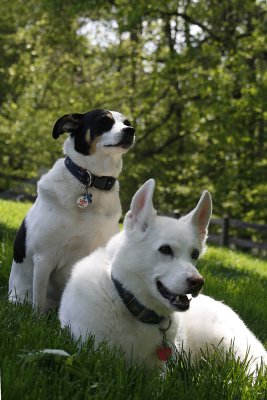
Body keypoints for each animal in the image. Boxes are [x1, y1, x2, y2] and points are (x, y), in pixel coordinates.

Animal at [8, 109, 136, 312]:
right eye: (104, 121)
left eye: (127, 123)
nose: (130, 130)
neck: (92, 180)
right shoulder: (44, 257)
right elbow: (39, 301)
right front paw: (37, 317)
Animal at [59, 180, 266, 374]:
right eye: (165, 249)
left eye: (195, 254)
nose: (198, 283)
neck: (127, 302)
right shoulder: (93, 353)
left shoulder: (160, 373)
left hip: (229, 345)